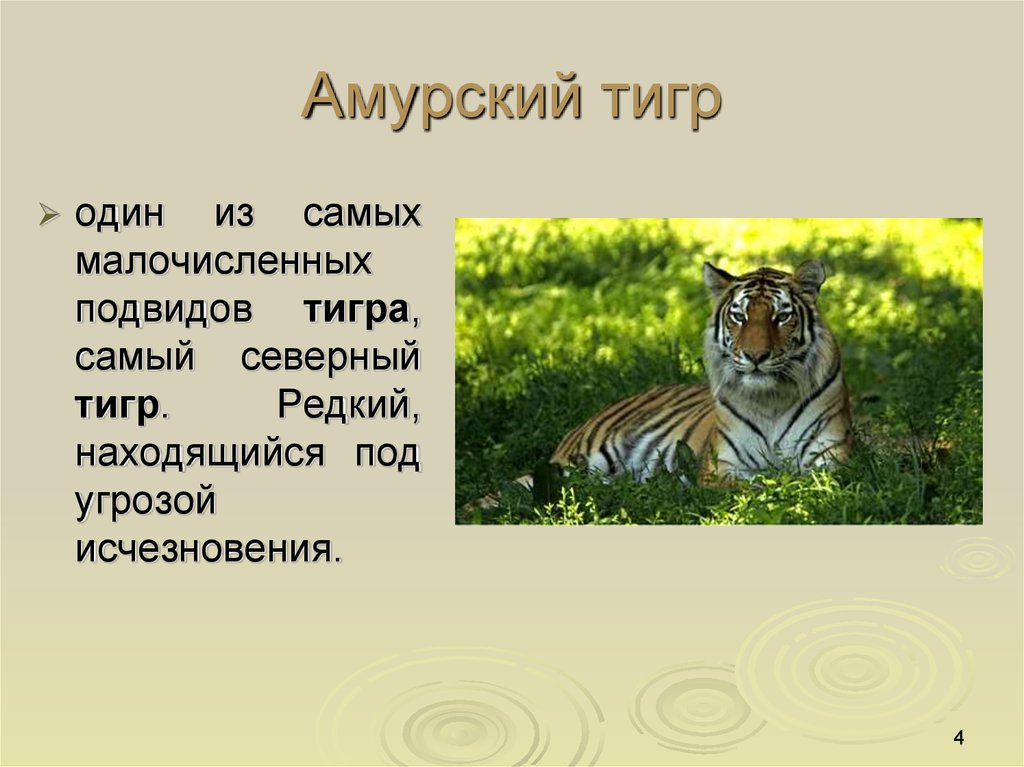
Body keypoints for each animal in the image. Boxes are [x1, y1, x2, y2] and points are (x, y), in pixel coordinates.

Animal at [485, 260, 852, 505]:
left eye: (781, 316)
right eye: (739, 316)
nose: (755, 355)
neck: (770, 399)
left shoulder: (830, 457)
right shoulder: (722, 468)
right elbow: (757, 486)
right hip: (580, 462)